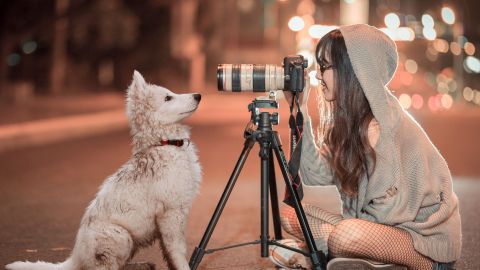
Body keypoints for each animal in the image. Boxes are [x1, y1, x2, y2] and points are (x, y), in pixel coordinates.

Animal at [7, 70, 202, 268]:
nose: (198, 95)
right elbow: (178, 252)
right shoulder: (171, 213)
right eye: (168, 97)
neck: (164, 144)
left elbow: (169, 256)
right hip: (121, 236)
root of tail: (75, 256)